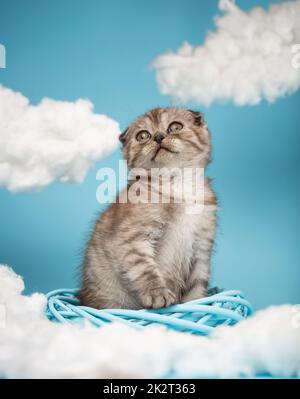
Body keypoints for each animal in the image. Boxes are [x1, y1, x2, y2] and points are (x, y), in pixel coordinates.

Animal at [79, 107, 216, 310]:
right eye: (143, 135)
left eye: (175, 127)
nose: (158, 137)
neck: (177, 185)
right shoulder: (133, 239)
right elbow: (145, 269)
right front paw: (157, 293)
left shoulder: (201, 250)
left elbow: (196, 288)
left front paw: (197, 306)